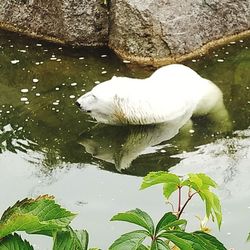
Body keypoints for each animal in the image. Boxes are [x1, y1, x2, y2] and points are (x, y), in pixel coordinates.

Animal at [75, 63, 229, 126]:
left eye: (94, 96)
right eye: (92, 90)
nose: (77, 102)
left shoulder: (169, 117)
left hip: (206, 97)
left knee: (217, 111)